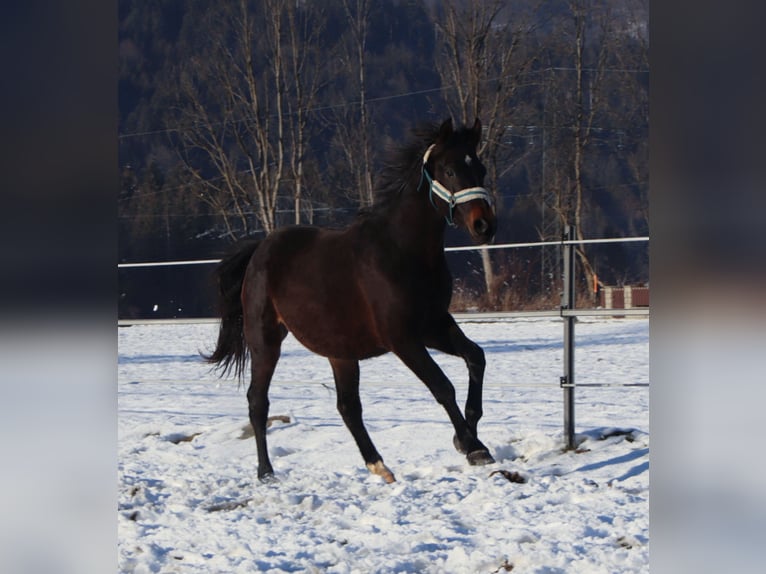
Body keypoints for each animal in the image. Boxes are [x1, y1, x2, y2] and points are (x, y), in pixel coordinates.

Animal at [206, 118, 498, 486]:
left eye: (481, 168)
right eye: (449, 169)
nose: (484, 225)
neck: (402, 252)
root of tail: (260, 249)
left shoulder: (433, 325)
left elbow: (476, 358)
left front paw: (469, 439)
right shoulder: (402, 339)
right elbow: (442, 387)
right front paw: (472, 447)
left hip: (340, 352)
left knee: (348, 408)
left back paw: (380, 467)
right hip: (265, 341)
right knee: (258, 402)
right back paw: (266, 472)